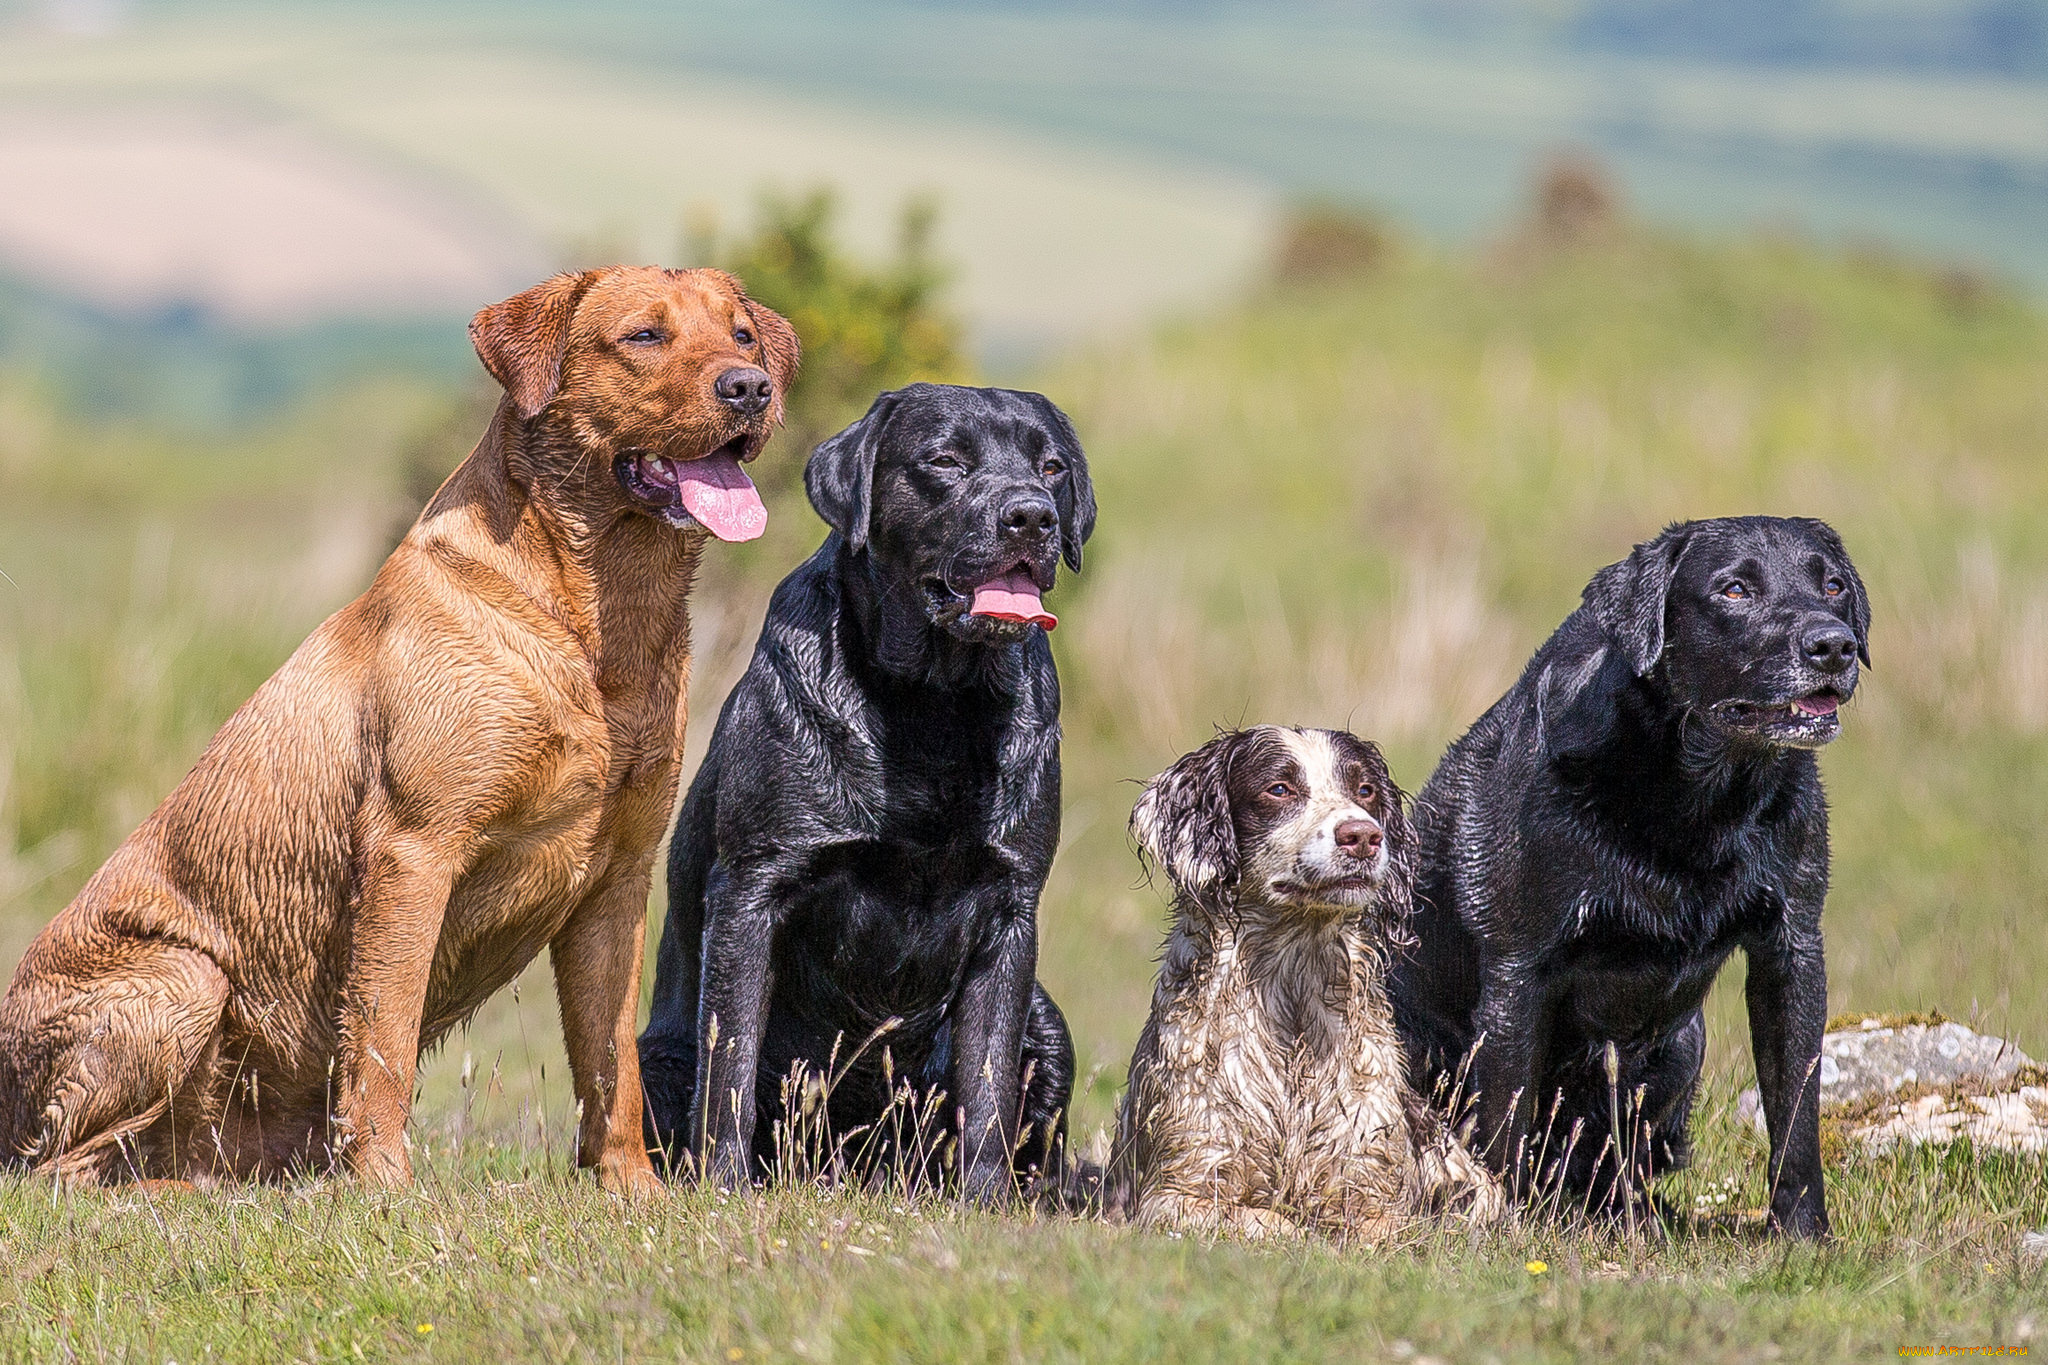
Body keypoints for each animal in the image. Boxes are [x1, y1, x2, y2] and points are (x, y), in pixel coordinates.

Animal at [0, 263, 794, 1195]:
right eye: (643, 335)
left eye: (742, 334)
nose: (751, 387)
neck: (596, 628)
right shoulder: (413, 851)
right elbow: (384, 1039)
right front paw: (384, 1186)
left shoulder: (619, 880)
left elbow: (612, 1067)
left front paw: (631, 1187)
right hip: (185, 978)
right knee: (61, 1168)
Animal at [638, 378, 1097, 1203]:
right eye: (945, 461)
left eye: (1051, 468)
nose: (1031, 516)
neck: (933, 707)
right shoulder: (752, 887)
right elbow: (732, 1062)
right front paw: (724, 1185)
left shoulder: (1011, 907)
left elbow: (988, 1081)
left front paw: (984, 1202)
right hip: (651, 1056)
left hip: (1049, 1022)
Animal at [1105, 732, 1507, 1244]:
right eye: (1279, 789)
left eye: (1365, 790)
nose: (1363, 836)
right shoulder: (1176, 1193)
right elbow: (1275, 1223)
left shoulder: (1375, 1191)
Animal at [1392, 515, 1875, 1236]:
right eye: (1734, 589)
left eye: (1834, 584)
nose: (1833, 646)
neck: (1696, 797)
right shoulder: (1518, 973)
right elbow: (1505, 1126)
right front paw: (1502, 1231)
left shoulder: (1791, 950)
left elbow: (1795, 1115)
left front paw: (1804, 1236)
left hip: (1681, 1045)